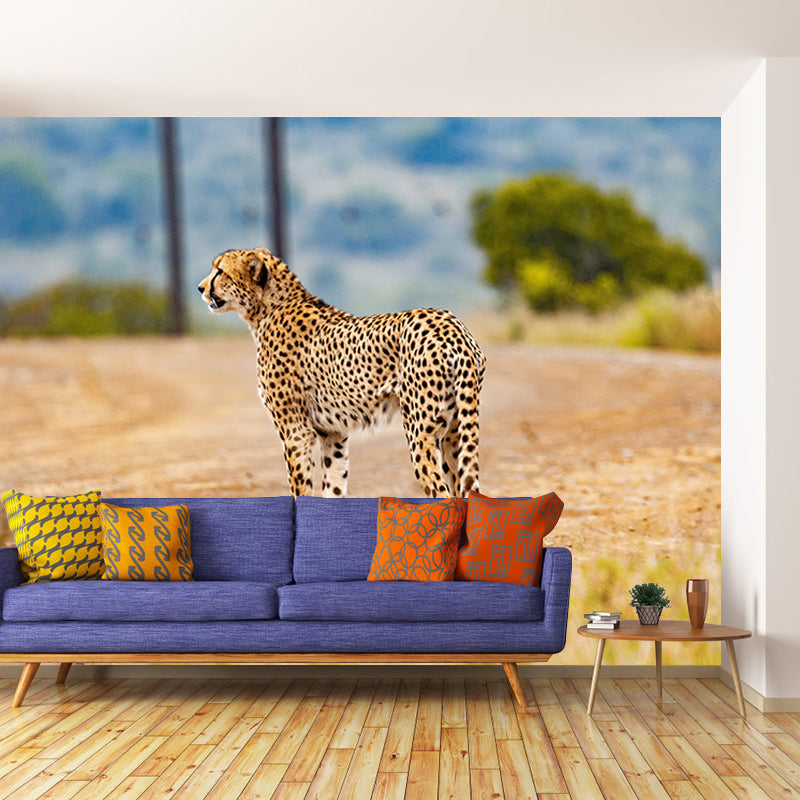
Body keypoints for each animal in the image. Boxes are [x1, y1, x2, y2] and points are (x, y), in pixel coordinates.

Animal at [198, 247, 486, 499]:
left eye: (220, 271)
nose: (200, 287)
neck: (268, 307)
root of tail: (453, 326)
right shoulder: (333, 433)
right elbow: (333, 487)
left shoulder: (295, 431)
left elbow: (300, 491)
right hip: (455, 432)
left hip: (421, 433)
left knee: (442, 493)